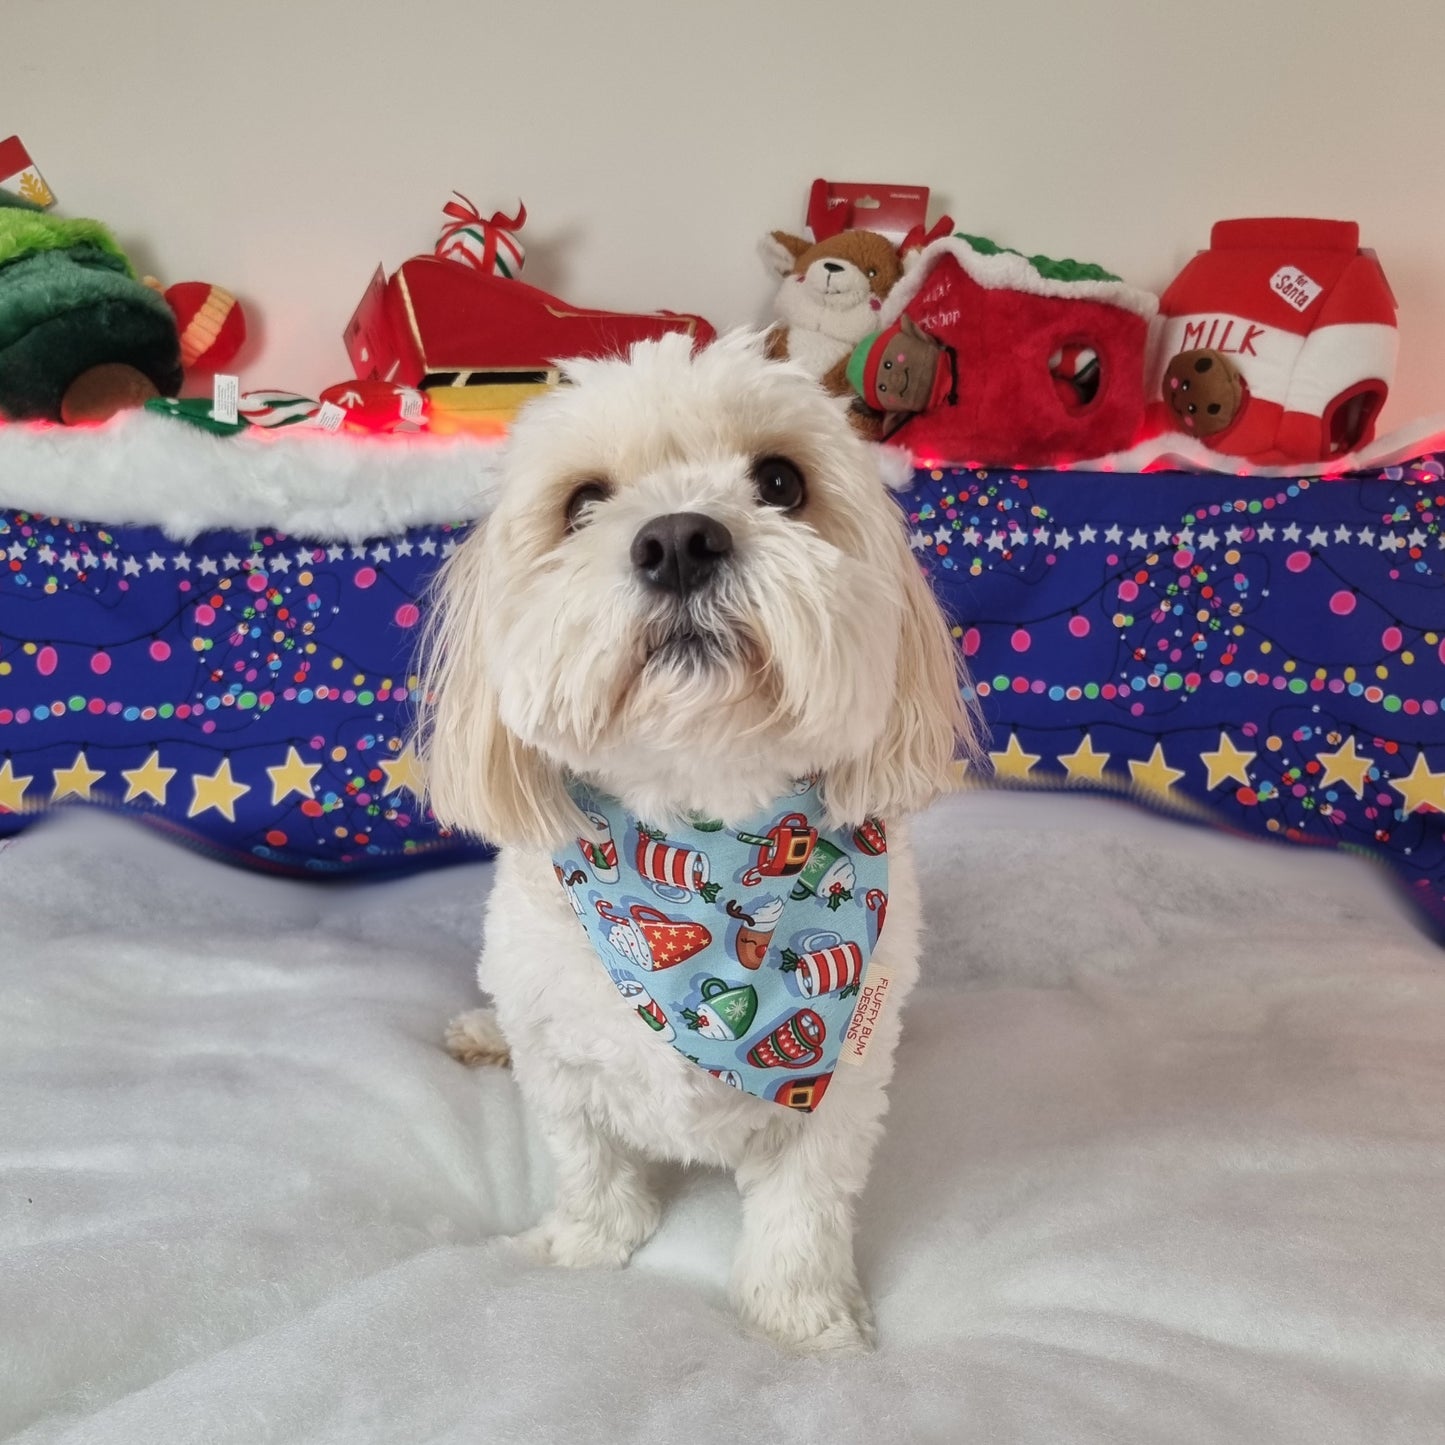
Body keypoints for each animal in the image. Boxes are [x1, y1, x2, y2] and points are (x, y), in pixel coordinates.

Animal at [421, 332, 976, 1346]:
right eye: (582, 503)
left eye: (781, 481)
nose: (678, 538)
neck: (709, 832)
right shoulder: (559, 1061)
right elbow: (588, 1162)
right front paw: (583, 1246)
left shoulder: (837, 1088)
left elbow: (803, 1208)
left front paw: (803, 1317)